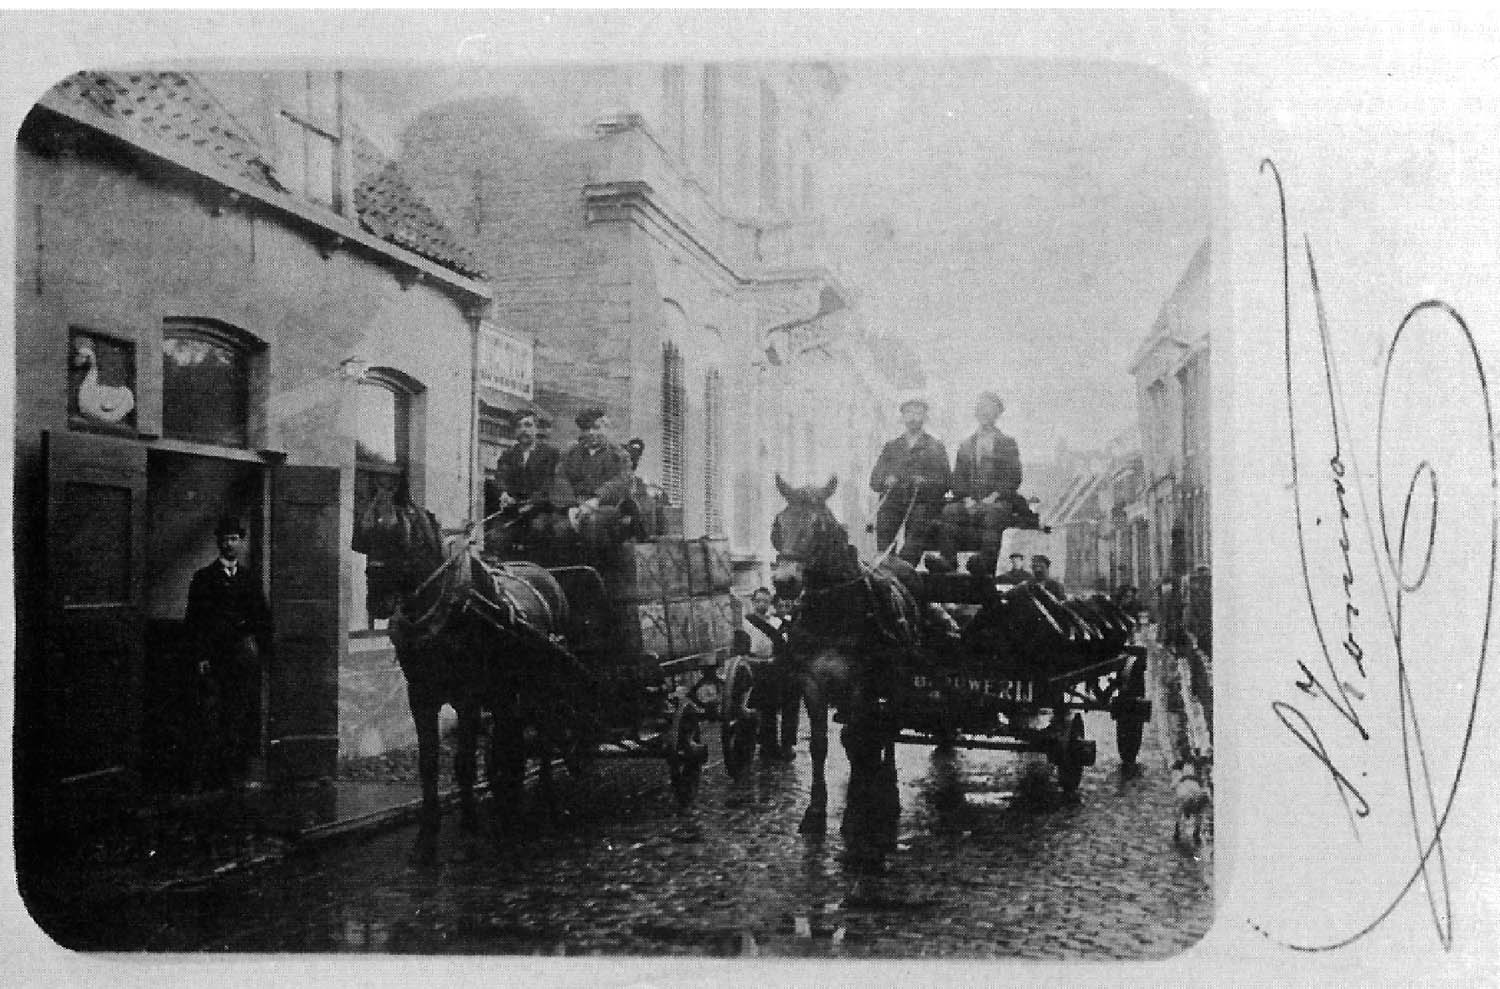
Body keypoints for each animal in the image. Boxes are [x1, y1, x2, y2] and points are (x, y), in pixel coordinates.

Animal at [774, 477, 924, 846]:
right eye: (778, 524)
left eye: (820, 527)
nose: (785, 583)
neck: (832, 612)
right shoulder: (812, 682)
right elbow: (820, 744)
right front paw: (815, 812)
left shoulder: (860, 682)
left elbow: (855, 737)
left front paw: (855, 814)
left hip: (896, 678)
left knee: (888, 725)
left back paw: (887, 784)